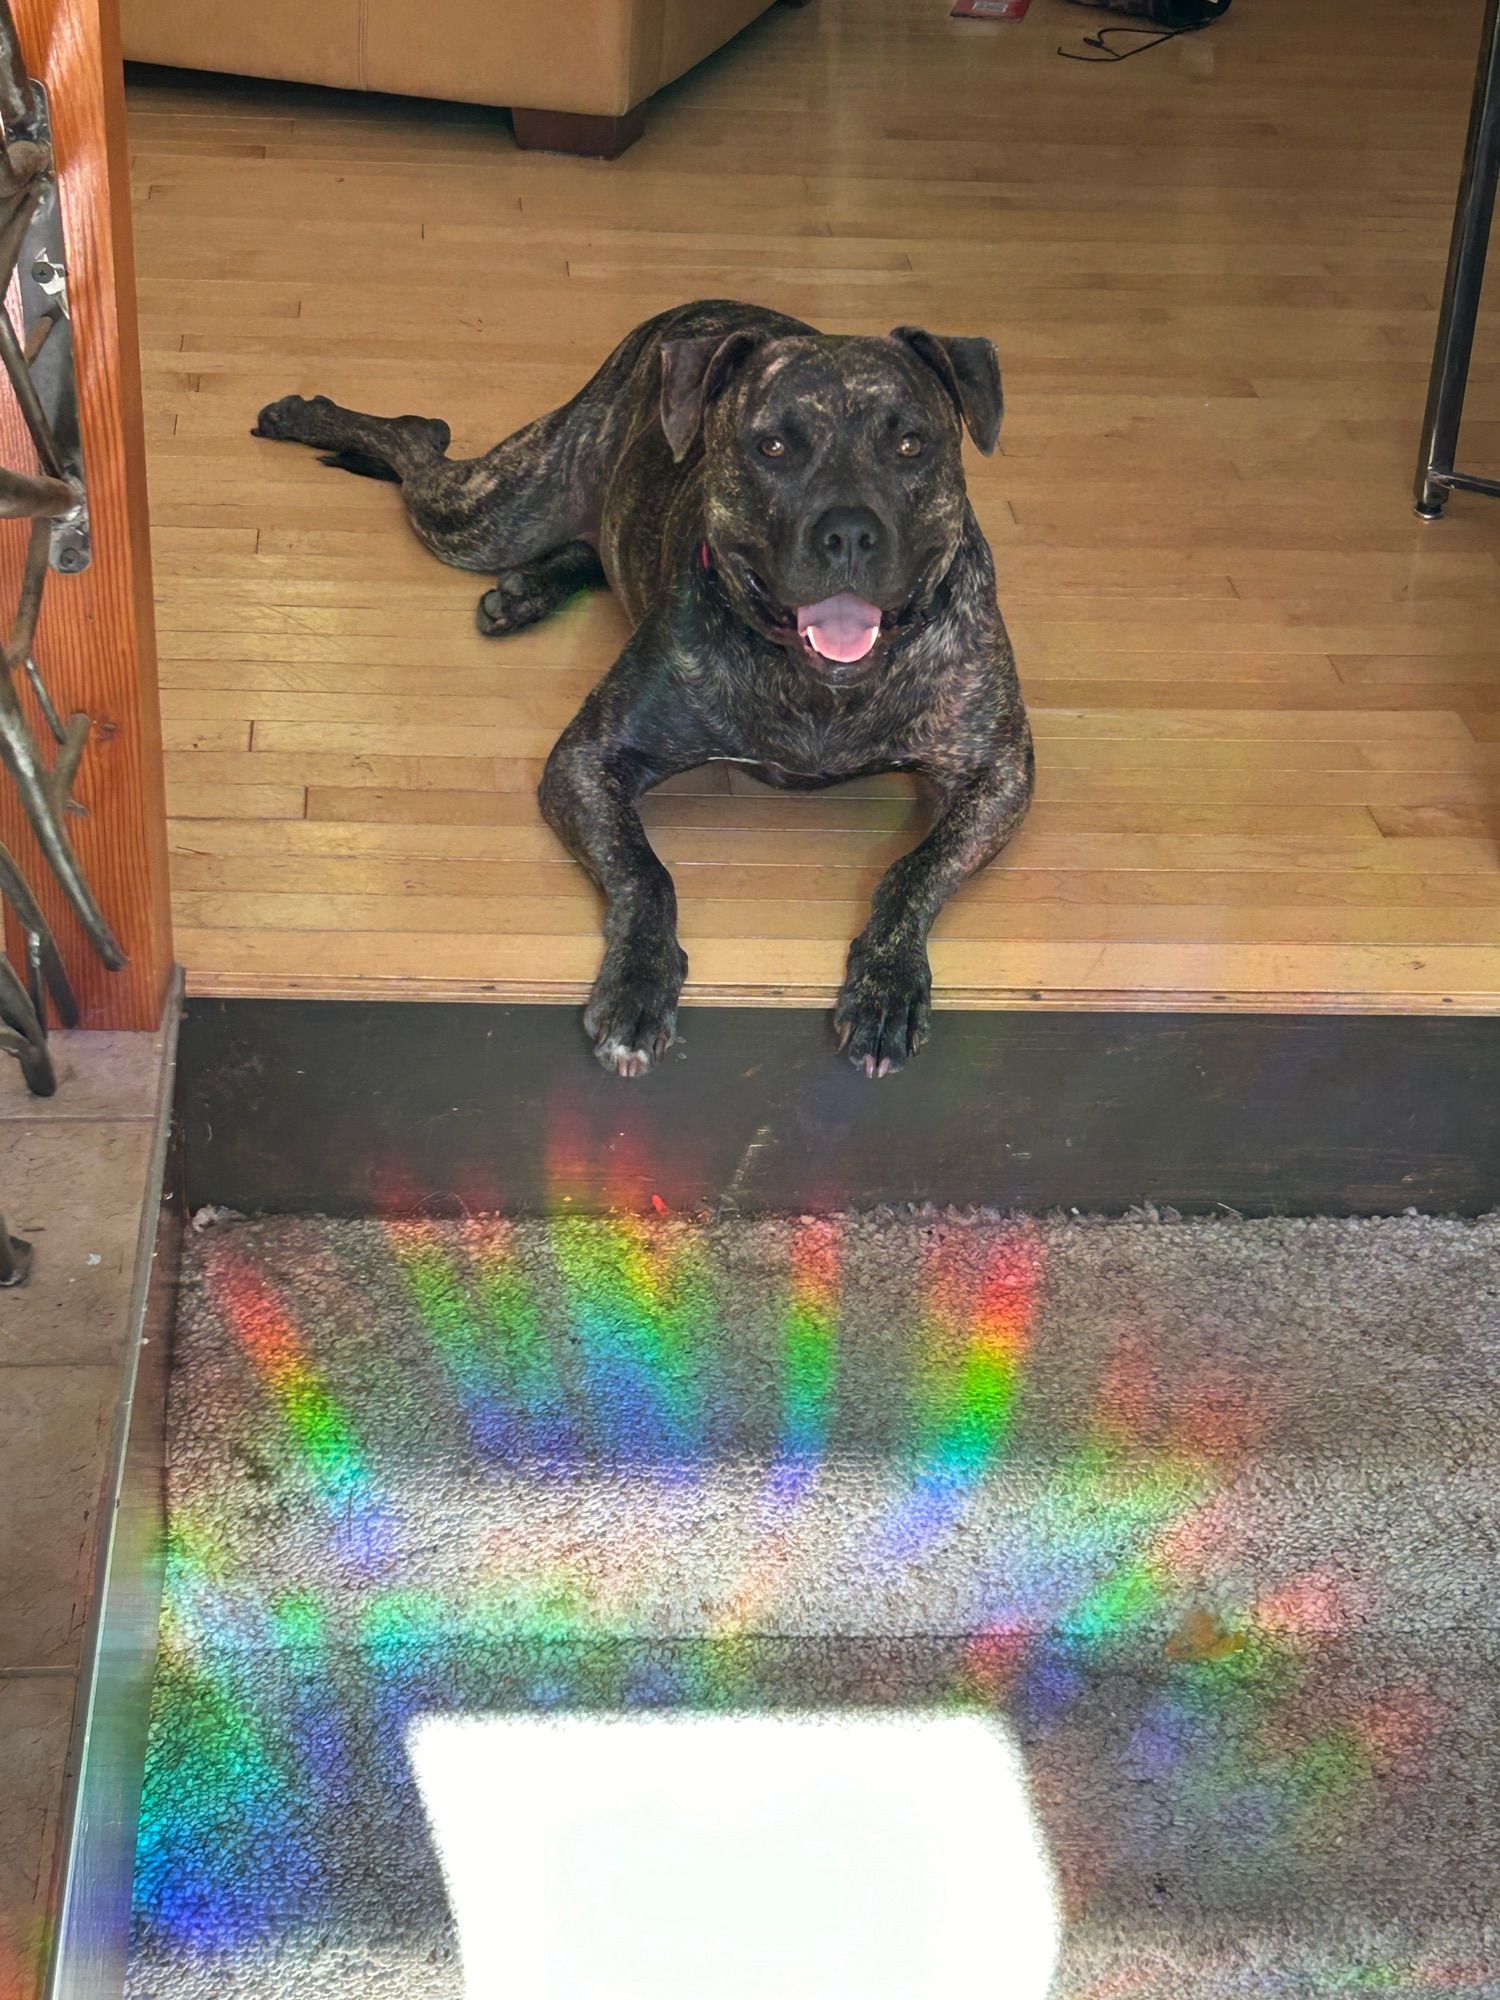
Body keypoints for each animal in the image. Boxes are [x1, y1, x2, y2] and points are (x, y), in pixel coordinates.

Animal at [256, 298, 1032, 1080]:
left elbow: (914, 870)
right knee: (422, 446)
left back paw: (525, 593)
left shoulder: (1000, 774)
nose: (847, 532)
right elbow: (647, 872)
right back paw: (306, 416)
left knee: (587, 544)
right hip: (489, 516)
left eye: (910, 444)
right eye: (772, 448)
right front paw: (638, 985)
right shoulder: (587, 757)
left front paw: (887, 986)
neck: (817, 684)